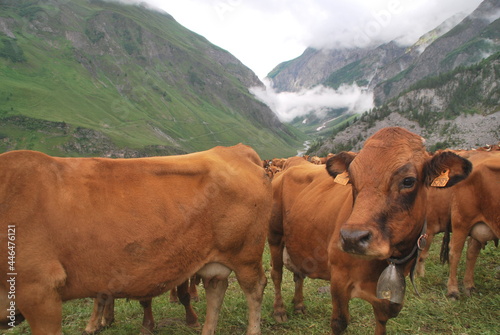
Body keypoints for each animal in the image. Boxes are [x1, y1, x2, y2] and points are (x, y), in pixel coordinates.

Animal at [0, 146, 272, 335]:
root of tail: (232, 150)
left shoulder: (39, 288)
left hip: (245, 253)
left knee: (255, 289)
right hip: (216, 259)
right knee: (216, 289)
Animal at [268, 127, 470, 334]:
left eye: (408, 181)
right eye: (352, 180)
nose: (352, 239)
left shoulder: (389, 294)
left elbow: (382, 319)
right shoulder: (338, 279)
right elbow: (339, 322)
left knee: (298, 272)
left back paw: (299, 305)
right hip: (274, 235)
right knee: (276, 273)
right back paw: (279, 310)